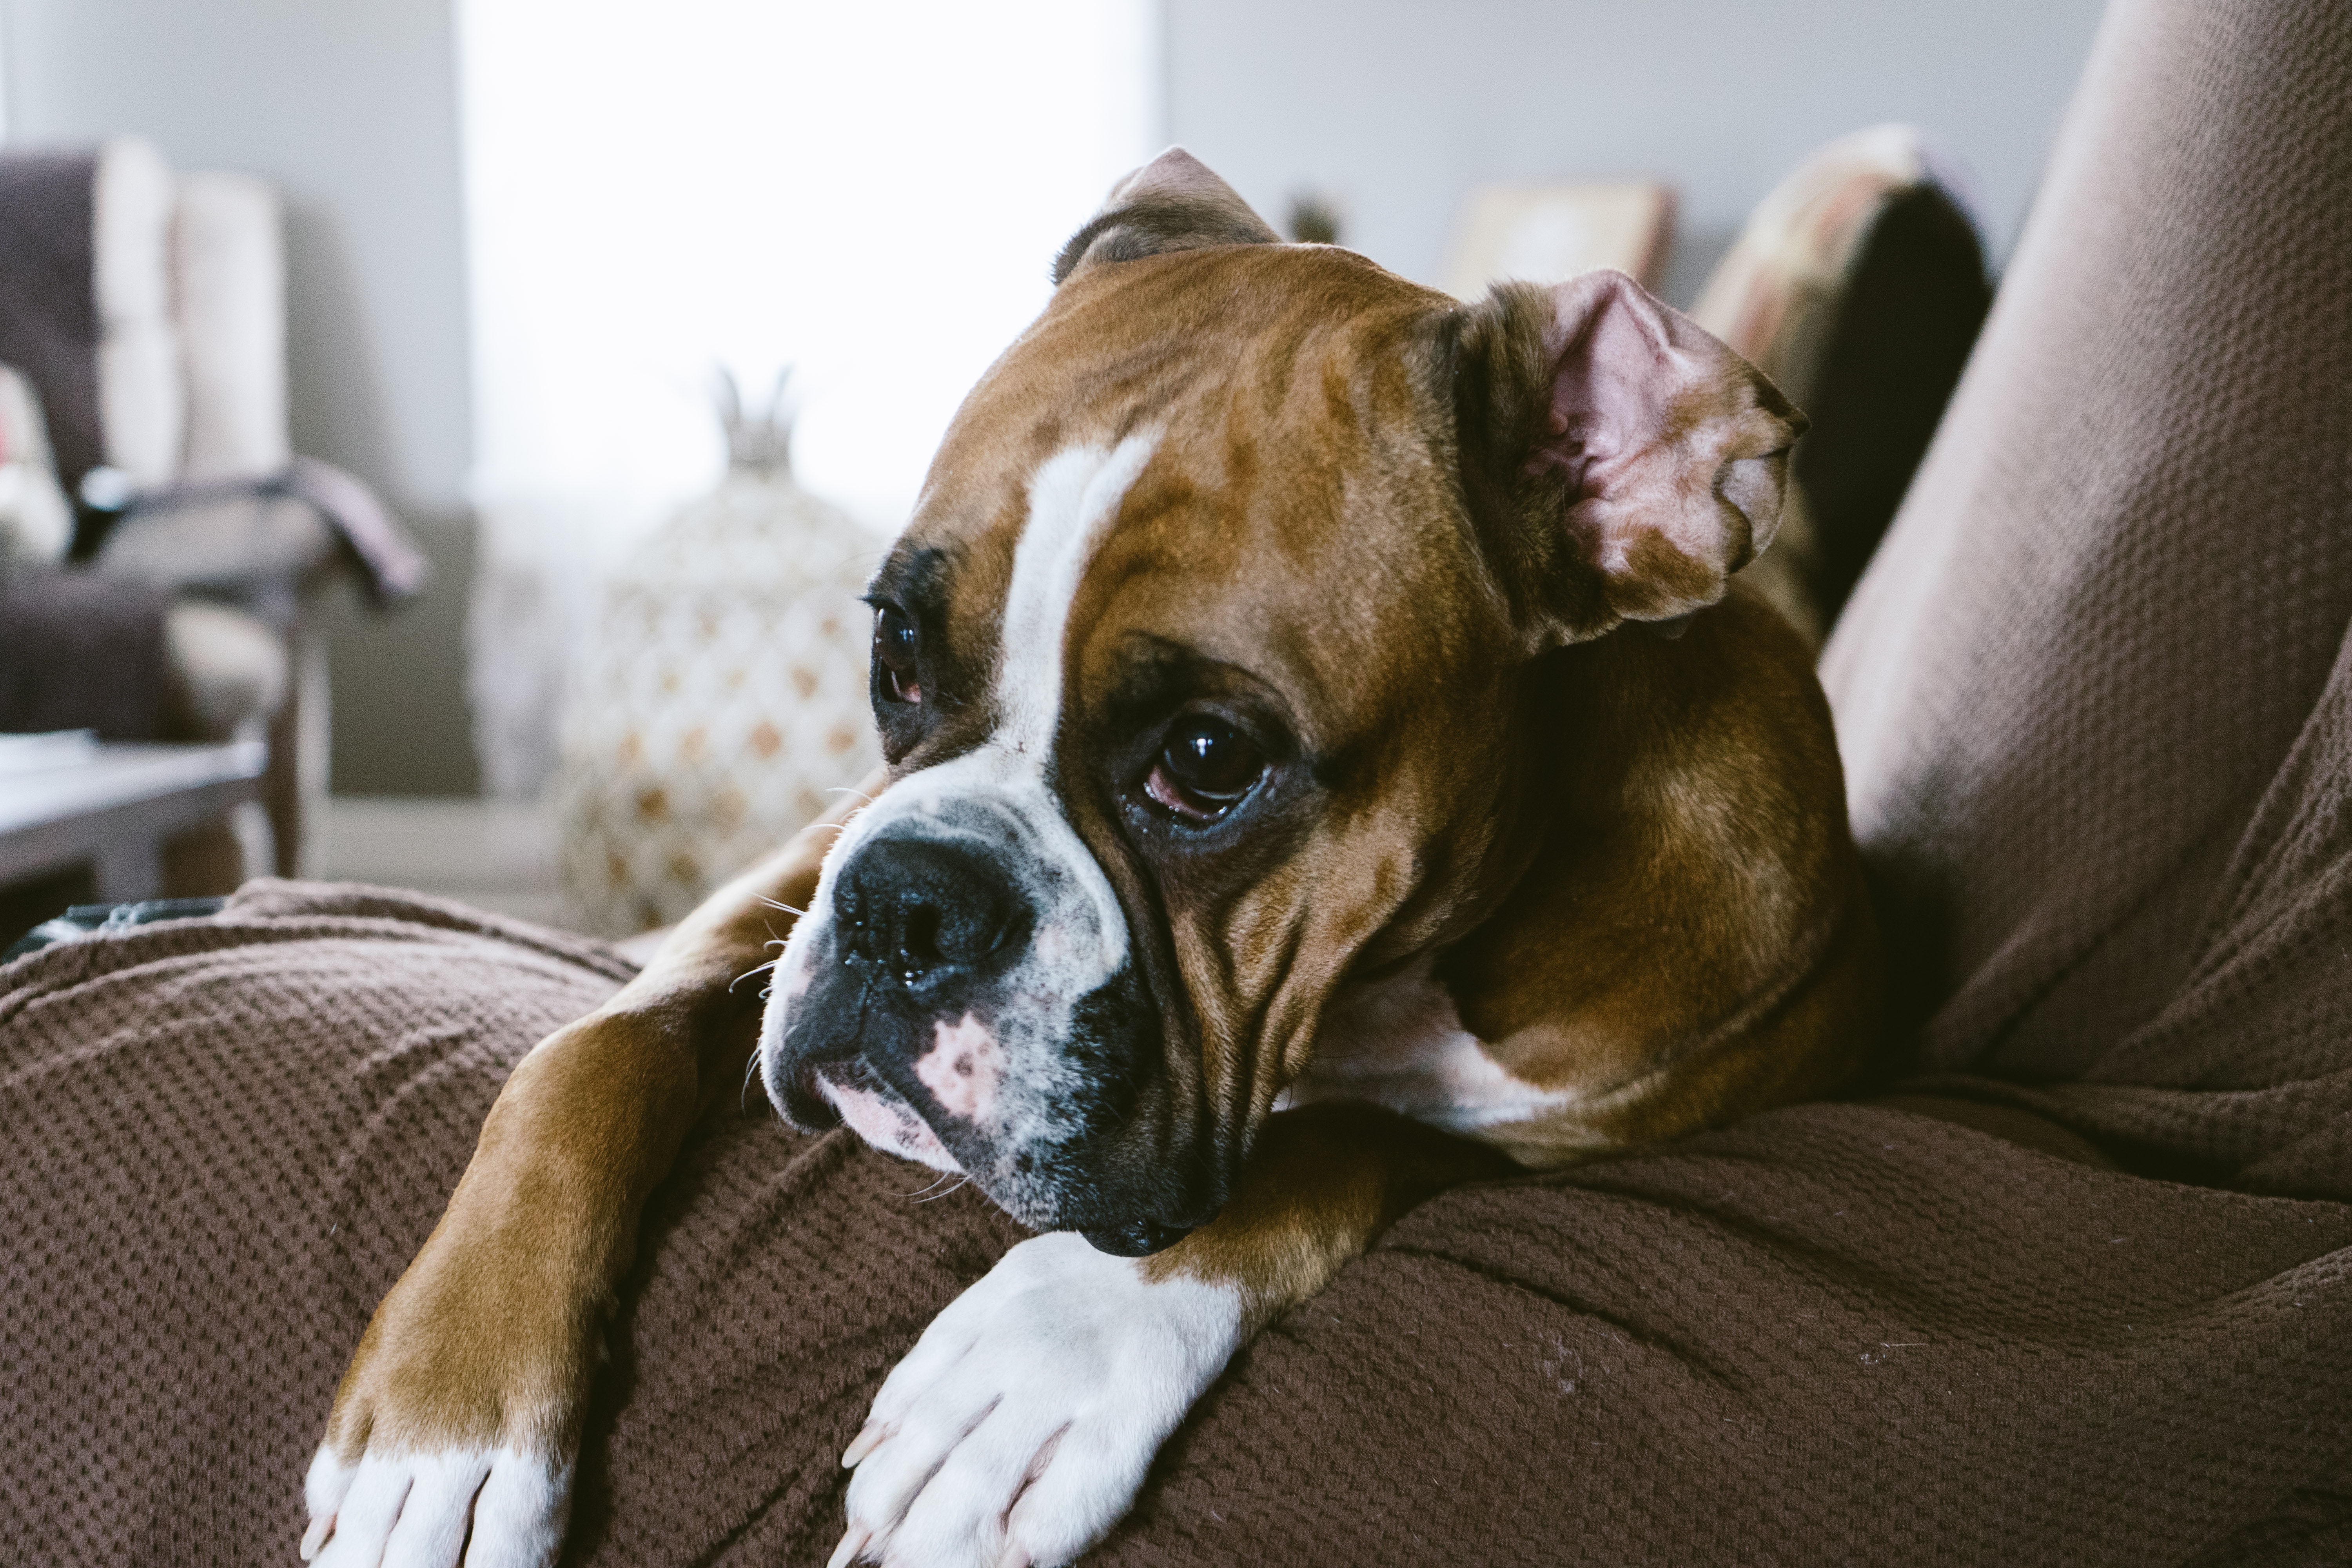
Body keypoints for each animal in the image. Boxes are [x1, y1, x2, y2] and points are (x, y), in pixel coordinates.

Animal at [303, 150, 1882, 1568]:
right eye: (894, 656)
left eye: (1208, 758)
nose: (903, 904)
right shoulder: (793, 874)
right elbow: (593, 1049)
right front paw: (442, 1422)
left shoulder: (1599, 1120)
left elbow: (1335, 1141)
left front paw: (1040, 1355)